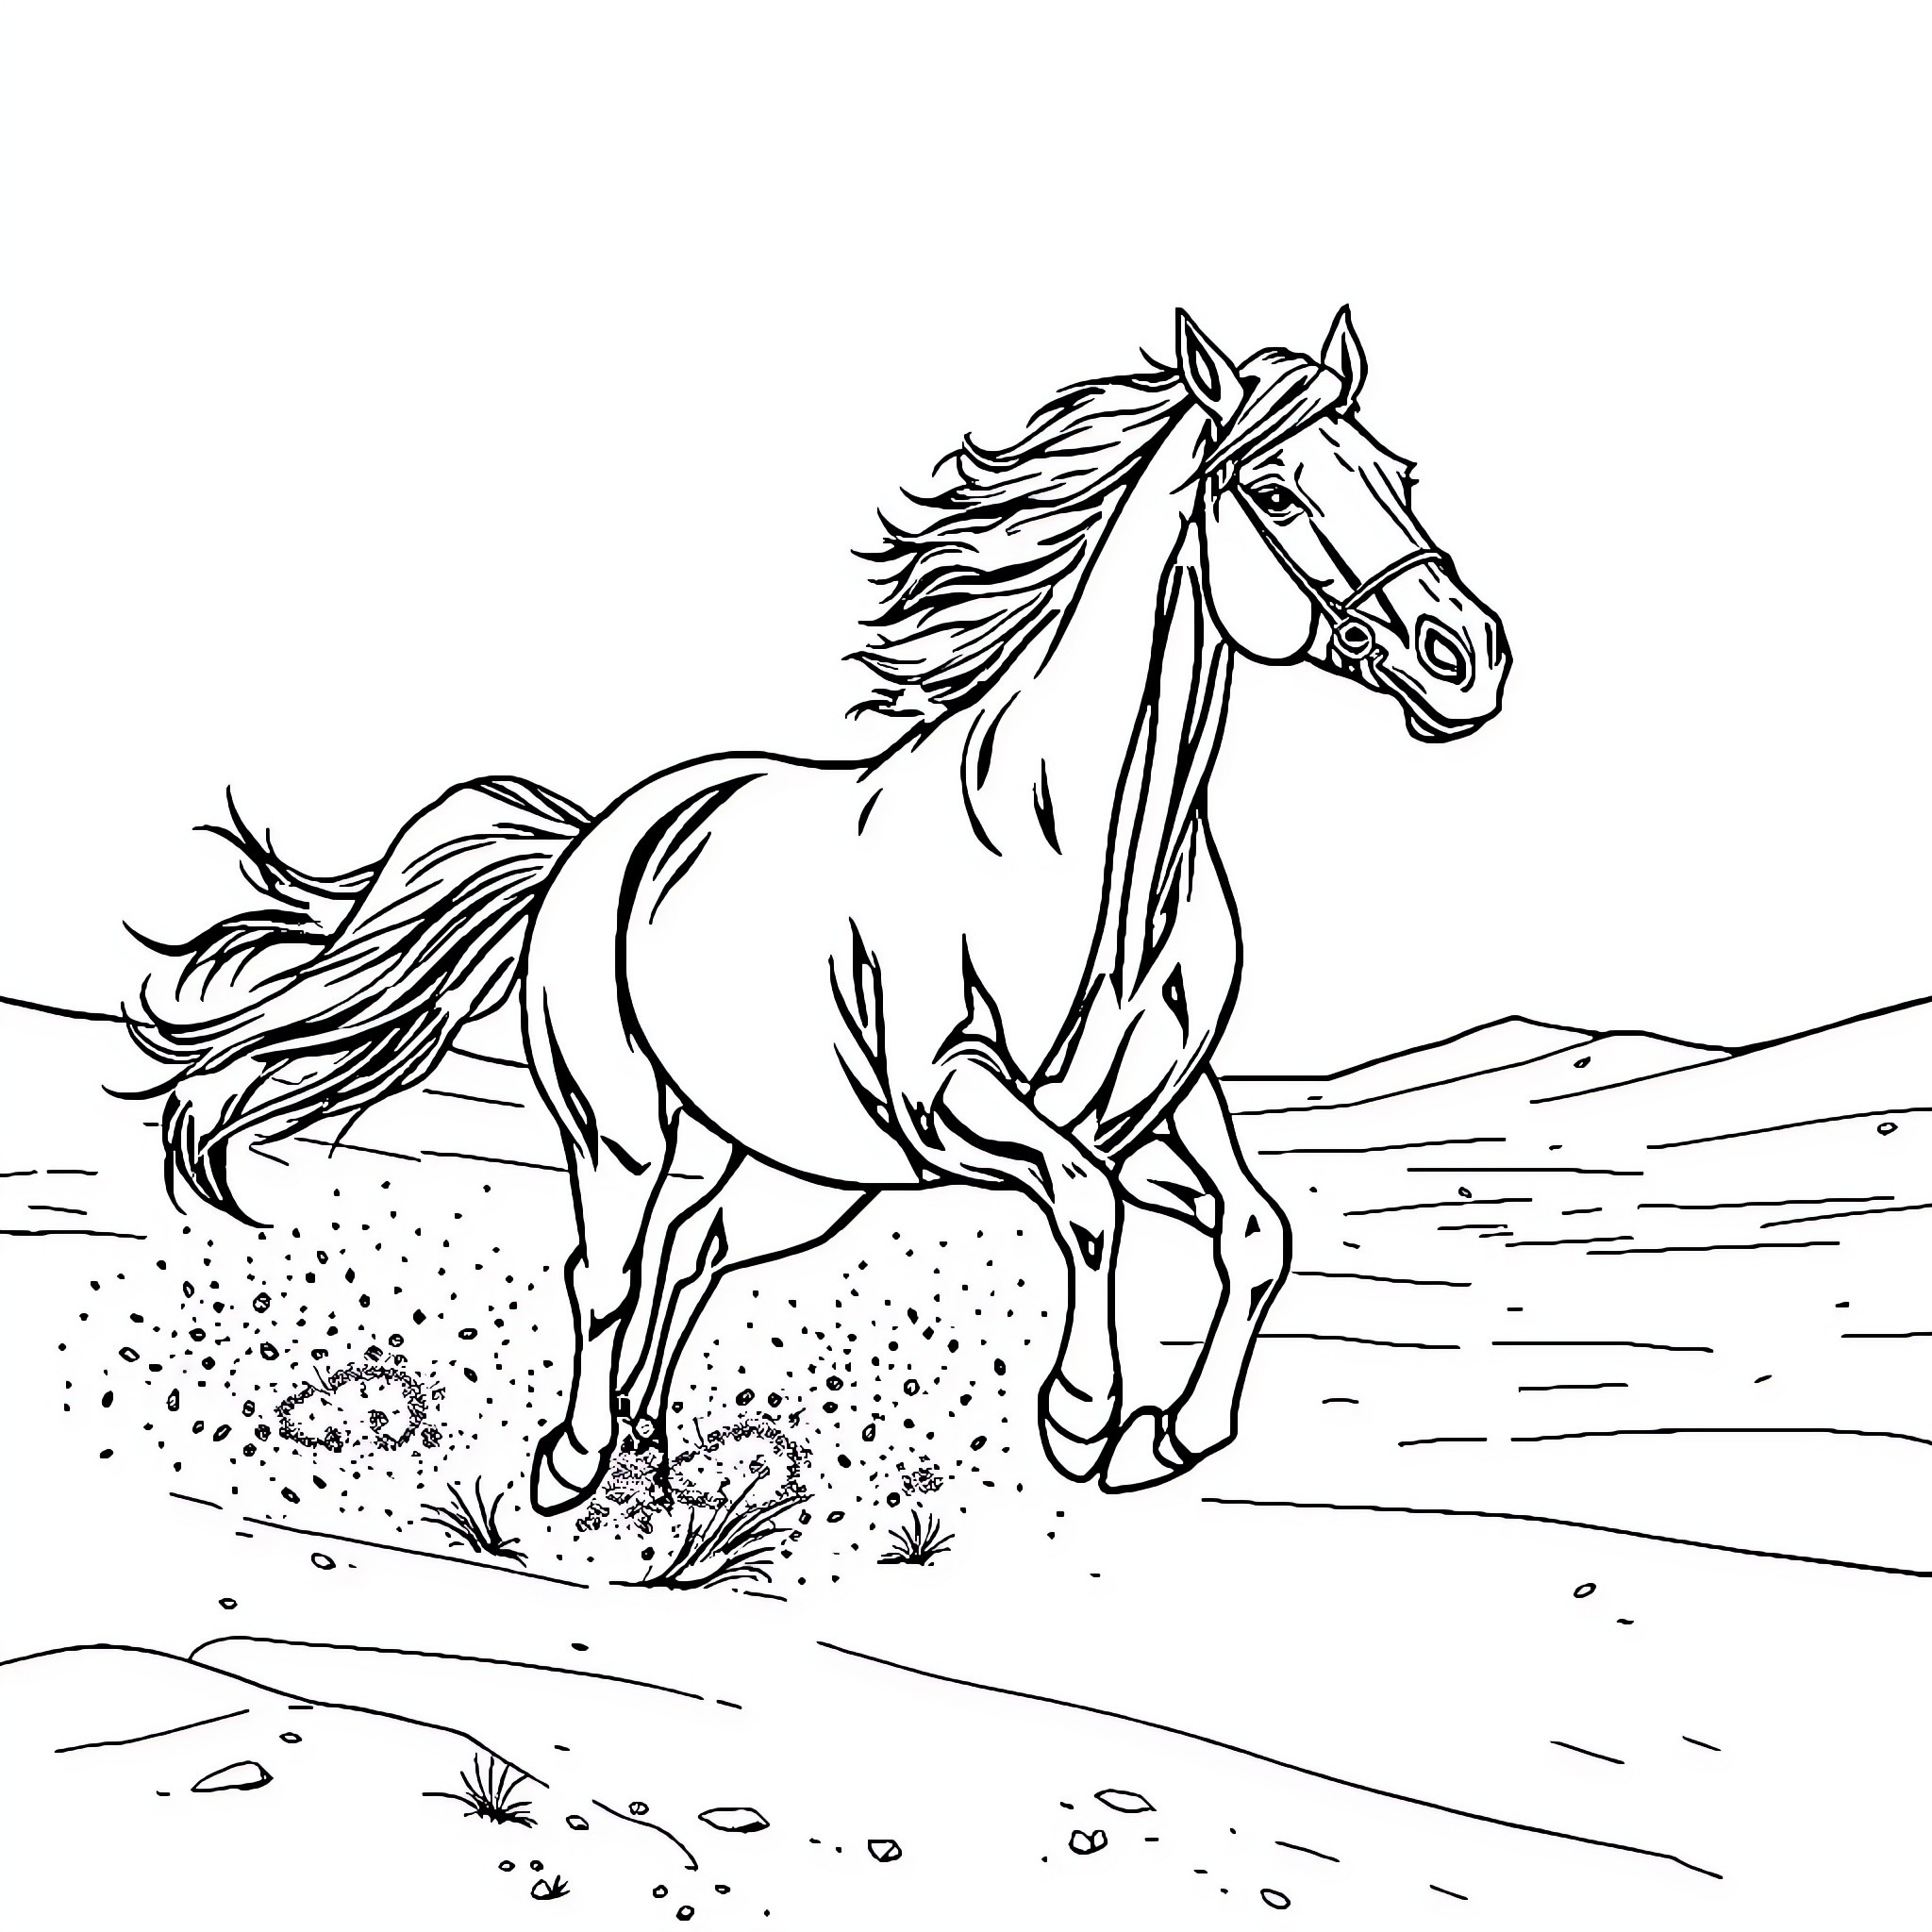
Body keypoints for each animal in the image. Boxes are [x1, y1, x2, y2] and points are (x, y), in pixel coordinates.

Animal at [128, 307, 1510, 1512]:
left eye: (1400, 472)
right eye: (1273, 492)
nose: (1467, 658)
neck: (1086, 852)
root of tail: (591, 839)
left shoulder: (1157, 1109)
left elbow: (1258, 1230)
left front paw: (1173, 1433)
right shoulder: (957, 1099)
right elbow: (1087, 1206)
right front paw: (1081, 1417)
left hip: (786, 1162)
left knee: (690, 1251)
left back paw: (654, 1457)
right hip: (622, 1124)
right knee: (606, 1265)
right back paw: (573, 1462)